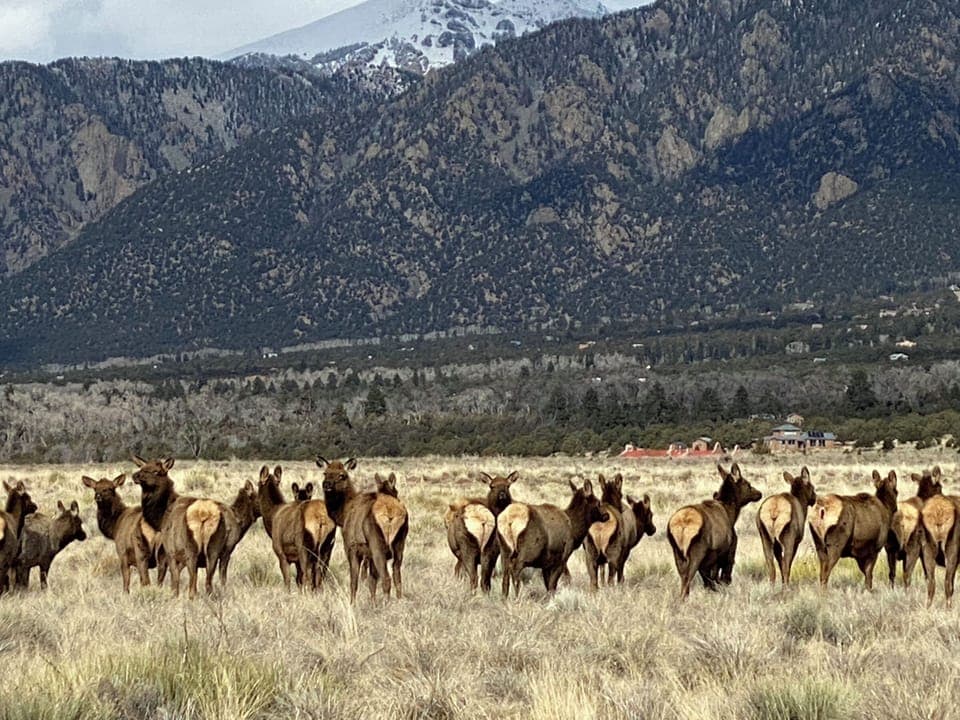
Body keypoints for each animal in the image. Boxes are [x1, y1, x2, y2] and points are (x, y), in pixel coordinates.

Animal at [317, 457, 408, 603]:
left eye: (342, 475)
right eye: (325, 473)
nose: (327, 484)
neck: (343, 515)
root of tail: (390, 513)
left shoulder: (351, 547)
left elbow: (354, 581)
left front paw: (352, 603)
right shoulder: (368, 554)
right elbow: (371, 581)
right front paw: (372, 602)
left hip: (377, 545)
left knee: (386, 578)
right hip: (400, 544)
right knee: (397, 576)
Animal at [667, 463, 762, 600]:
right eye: (748, 484)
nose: (759, 493)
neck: (731, 513)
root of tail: (683, 522)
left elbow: (708, 580)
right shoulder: (726, 550)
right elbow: (721, 575)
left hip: (677, 553)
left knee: (683, 577)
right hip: (697, 552)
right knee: (688, 578)